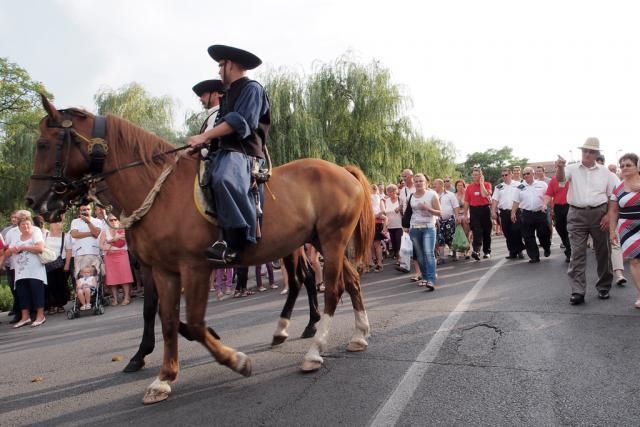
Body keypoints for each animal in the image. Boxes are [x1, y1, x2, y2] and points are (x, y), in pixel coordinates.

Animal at [26, 96, 376, 404]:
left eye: (43, 144)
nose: (34, 201)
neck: (160, 193)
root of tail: (343, 170)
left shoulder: (193, 267)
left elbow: (191, 322)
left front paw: (235, 360)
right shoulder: (163, 270)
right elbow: (166, 318)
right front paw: (163, 378)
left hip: (330, 241)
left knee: (330, 288)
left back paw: (314, 350)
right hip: (319, 242)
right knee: (348, 282)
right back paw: (356, 335)